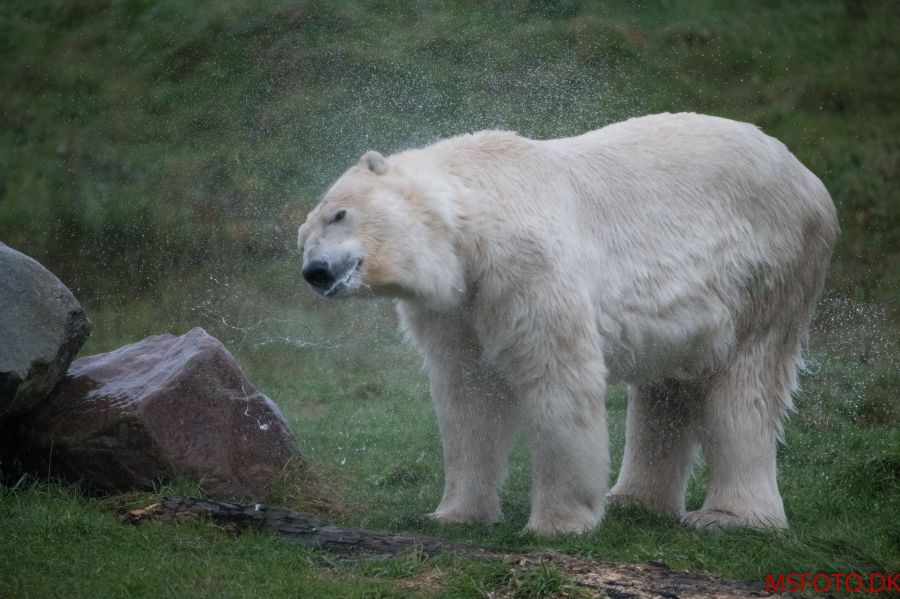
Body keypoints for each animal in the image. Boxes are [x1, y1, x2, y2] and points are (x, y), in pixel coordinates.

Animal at [296, 115, 836, 536]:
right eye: (303, 236)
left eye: (340, 214)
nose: (315, 271)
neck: (475, 217)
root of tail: (809, 178)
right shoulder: (457, 305)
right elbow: (468, 392)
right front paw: (454, 514)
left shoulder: (525, 266)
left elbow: (556, 378)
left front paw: (558, 523)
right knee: (669, 384)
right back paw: (634, 500)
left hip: (766, 272)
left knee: (747, 384)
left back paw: (730, 517)